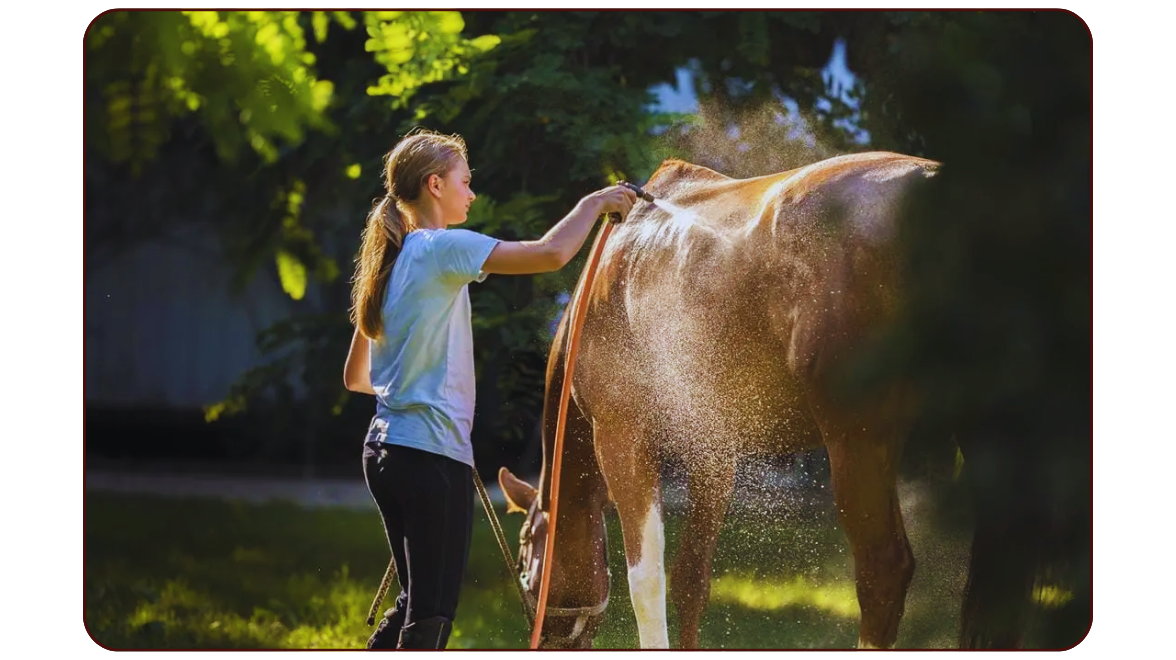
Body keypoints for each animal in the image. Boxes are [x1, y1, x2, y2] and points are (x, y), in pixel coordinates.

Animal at [497, 151, 941, 649]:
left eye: (524, 553)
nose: (539, 635)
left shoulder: (621, 440)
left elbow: (646, 582)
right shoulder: (713, 453)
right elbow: (690, 580)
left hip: (856, 441)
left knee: (883, 569)